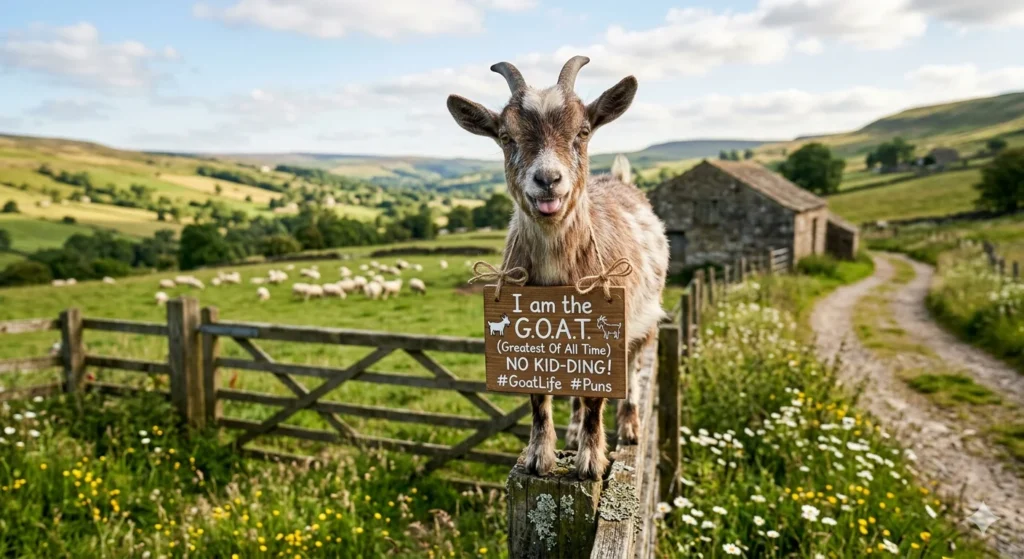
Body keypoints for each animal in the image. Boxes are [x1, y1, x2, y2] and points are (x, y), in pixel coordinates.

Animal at [447, 56, 668, 480]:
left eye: (582, 131)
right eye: (506, 136)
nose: (548, 179)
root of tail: (619, 180)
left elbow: (598, 395)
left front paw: (591, 462)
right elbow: (540, 395)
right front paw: (539, 457)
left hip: (645, 318)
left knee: (632, 371)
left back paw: (630, 427)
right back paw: (573, 430)